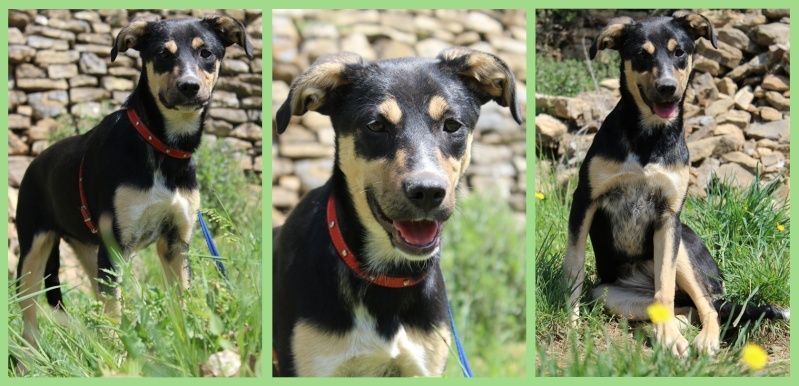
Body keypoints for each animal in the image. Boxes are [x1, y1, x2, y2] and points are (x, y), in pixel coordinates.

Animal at [15, 14, 253, 346]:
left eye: (205, 53)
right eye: (163, 54)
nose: (189, 86)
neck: (162, 147)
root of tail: (34, 162)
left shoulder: (176, 243)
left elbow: (181, 303)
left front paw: (185, 345)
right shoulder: (117, 242)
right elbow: (115, 315)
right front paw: (118, 355)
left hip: (91, 252)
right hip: (34, 250)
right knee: (29, 314)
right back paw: (31, 354)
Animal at [564, 10, 792, 358]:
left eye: (679, 52)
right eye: (642, 54)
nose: (667, 88)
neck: (649, 137)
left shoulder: (668, 216)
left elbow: (665, 288)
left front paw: (669, 339)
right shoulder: (585, 200)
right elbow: (574, 266)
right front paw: (571, 321)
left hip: (683, 244)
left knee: (705, 305)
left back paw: (702, 339)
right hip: (607, 292)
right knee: (683, 308)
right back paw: (672, 327)